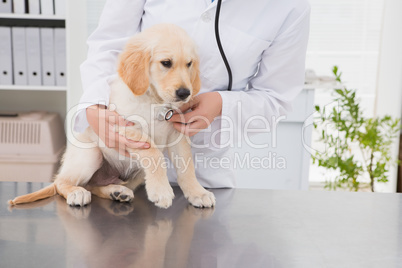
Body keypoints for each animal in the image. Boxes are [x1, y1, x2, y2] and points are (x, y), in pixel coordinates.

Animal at [7, 24, 217, 209]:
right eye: (166, 63)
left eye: (189, 64)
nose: (185, 93)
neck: (155, 101)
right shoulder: (123, 126)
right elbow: (154, 153)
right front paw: (161, 191)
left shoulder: (177, 134)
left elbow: (186, 167)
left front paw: (197, 193)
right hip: (91, 154)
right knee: (61, 183)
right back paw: (77, 192)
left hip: (136, 175)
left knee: (93, 186)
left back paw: (116, 192)